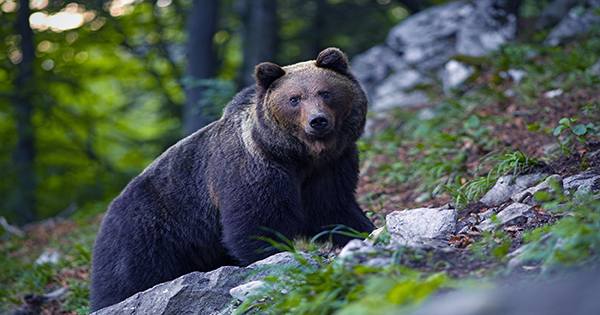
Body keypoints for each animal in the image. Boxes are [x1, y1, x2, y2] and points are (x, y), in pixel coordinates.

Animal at [89, 48, 372, 312]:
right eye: (294, 99)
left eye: (325, 93)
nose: (317, 121)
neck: (297, 156)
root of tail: (107, 212)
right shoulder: (254, 170)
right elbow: (257, 222)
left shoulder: (330, 167)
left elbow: (333, 208)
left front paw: (361, 231)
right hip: (145, 232)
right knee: (125, 279)